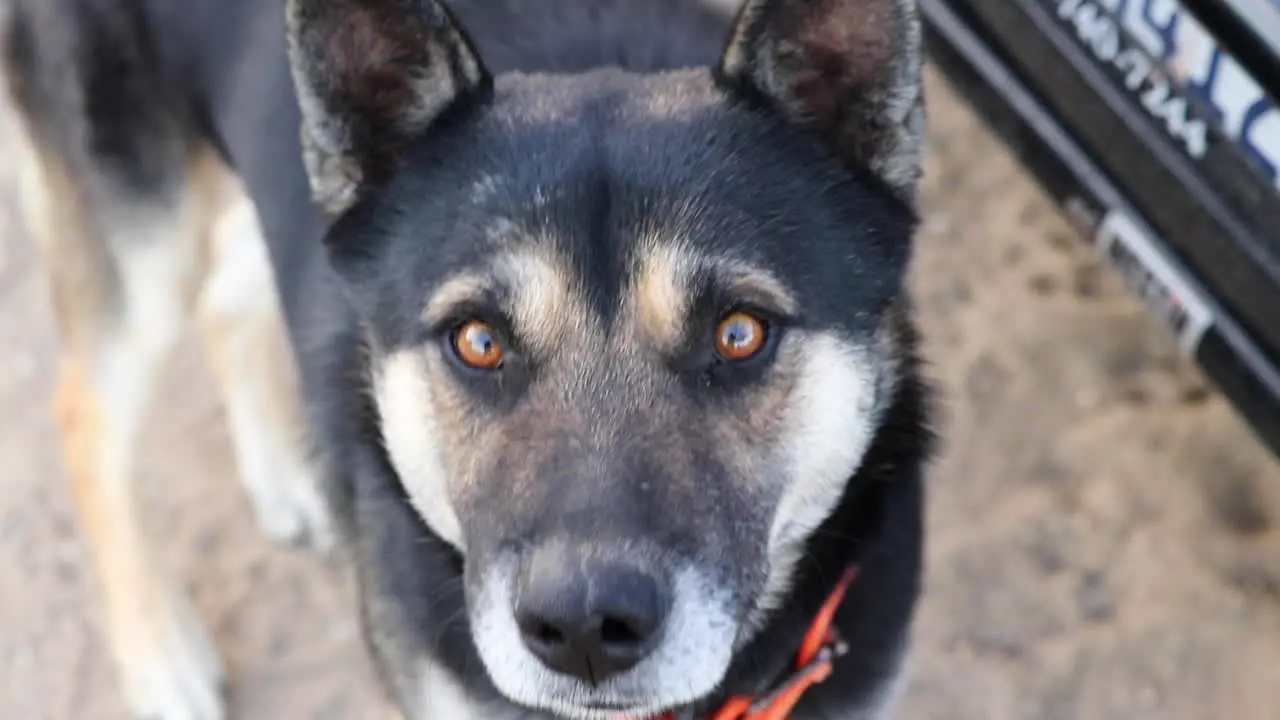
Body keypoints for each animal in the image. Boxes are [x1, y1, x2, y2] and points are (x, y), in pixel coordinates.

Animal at [5, 0, 936, 712]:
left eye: (739, 332)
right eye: (478, 341)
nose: (585, 630)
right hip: (142, 242)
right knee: (85, 415)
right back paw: (161, 659)